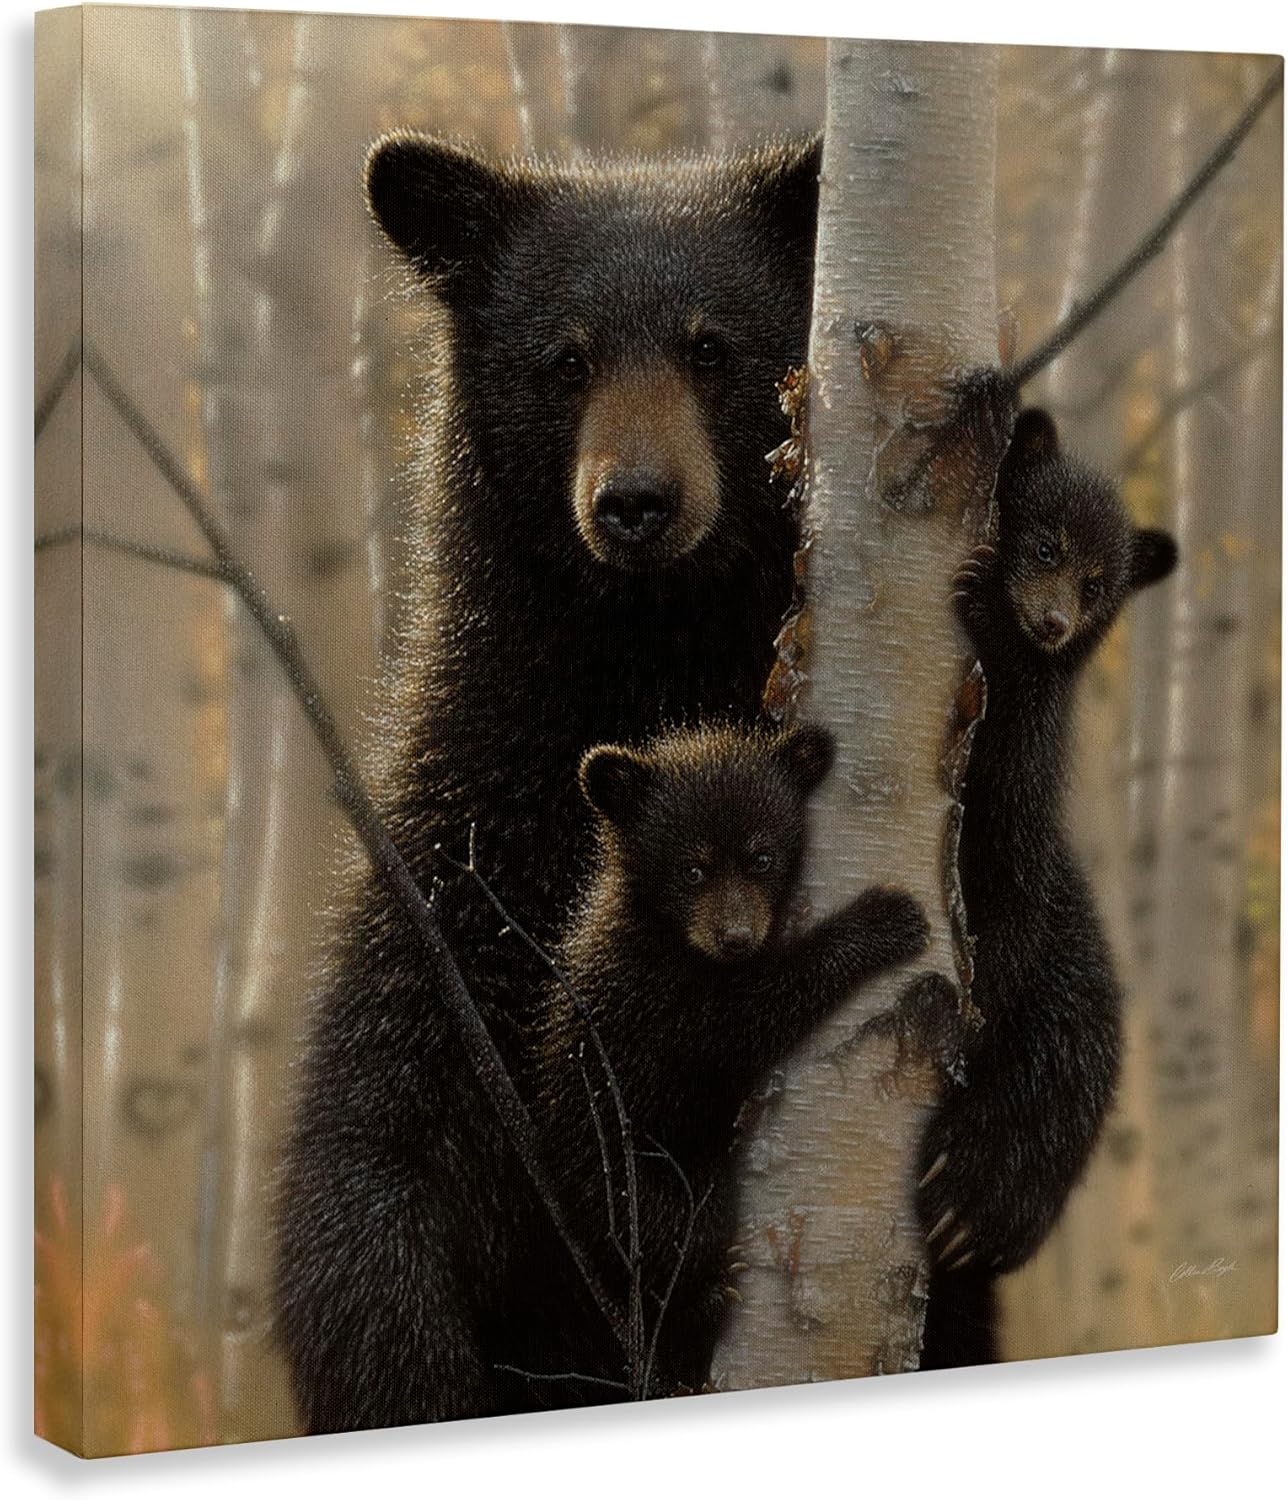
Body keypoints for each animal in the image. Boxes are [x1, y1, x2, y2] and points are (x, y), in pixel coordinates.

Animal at [273, 133, 823, 1433]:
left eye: (710, 345)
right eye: (562, 359)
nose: (634, 502)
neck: (643, 662)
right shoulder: (460, 870)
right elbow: (377, 1166)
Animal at [502, 721, 931, 1407]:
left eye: (761, 858)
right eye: (693, 867)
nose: (735, 937)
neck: (671, 937)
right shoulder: (654, 1000)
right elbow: (741, 1023)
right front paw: (883, 921)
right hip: (625, 1175)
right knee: (670, 1227)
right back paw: (702, 1295)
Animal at [917, 407, 1178, 1370]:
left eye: (1100, 583)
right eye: (1043, 544)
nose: (1056, 621)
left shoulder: (1021, 799)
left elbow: (1008, 908)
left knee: (1061, 1075)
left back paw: (969, 1199)